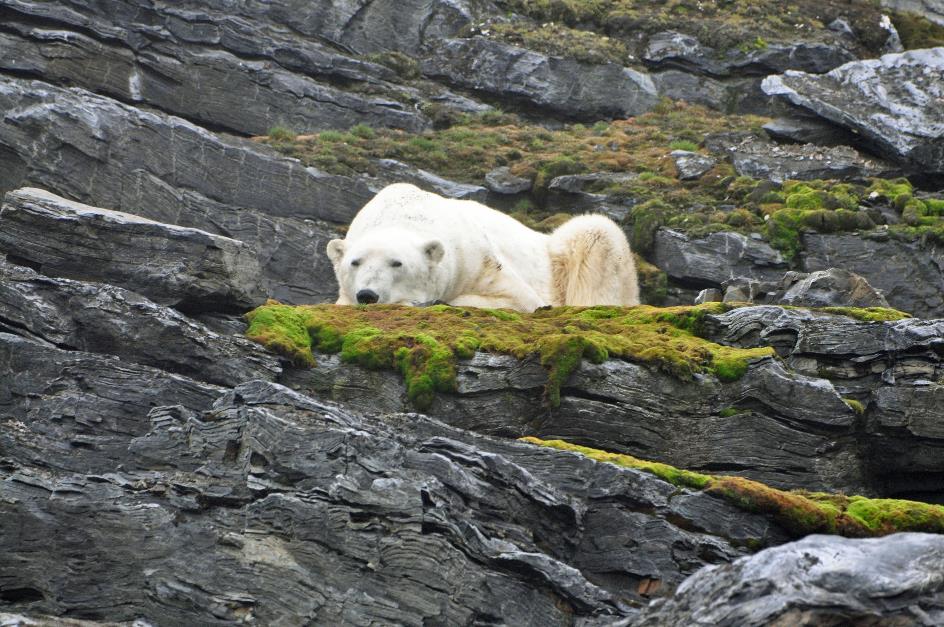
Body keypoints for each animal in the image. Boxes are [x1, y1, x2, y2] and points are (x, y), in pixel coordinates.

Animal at [326, 183, 640, 312]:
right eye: (355, 262)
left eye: (397, 263)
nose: (368, 295)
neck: (405, 214)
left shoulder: (475, 258)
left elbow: (522, 300)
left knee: (596, 232)